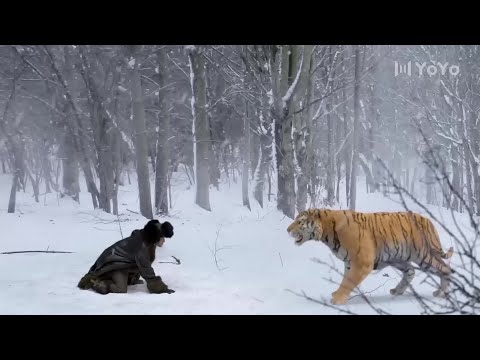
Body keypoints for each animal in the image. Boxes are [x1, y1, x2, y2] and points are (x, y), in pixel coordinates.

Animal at [286, 208, 452, 304]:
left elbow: (348, 281)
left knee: (445, 268)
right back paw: (397, 291)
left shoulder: (362, 262)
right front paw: (337, 294)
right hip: (397, 257)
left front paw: (338, 299)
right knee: (411, 271)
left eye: (299, 221)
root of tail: (428, 220)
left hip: (422, 254)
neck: (327, 232)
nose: (287, 230)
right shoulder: (349, 262)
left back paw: (441, 293)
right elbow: (345, 279)